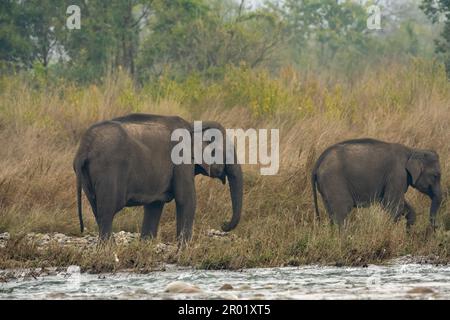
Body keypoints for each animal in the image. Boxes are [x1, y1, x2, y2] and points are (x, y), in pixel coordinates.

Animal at [74, 114, 243, 241]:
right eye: (224, 150)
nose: (223, 224)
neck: (193, 125)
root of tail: (85, 147)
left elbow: (154, 206)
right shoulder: (182, 160)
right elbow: (186, 199)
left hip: (86, 176)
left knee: (98, 210)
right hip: (108, 170)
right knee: (107, 212)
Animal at [312, 138, 442, 228]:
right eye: (435, 176)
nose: (435, 227)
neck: (412, 151)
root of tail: (318, 162)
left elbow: (399, 204)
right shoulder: (398, 174)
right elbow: (392, 205)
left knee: (332, 213)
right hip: (333, 180)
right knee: (342, 211)